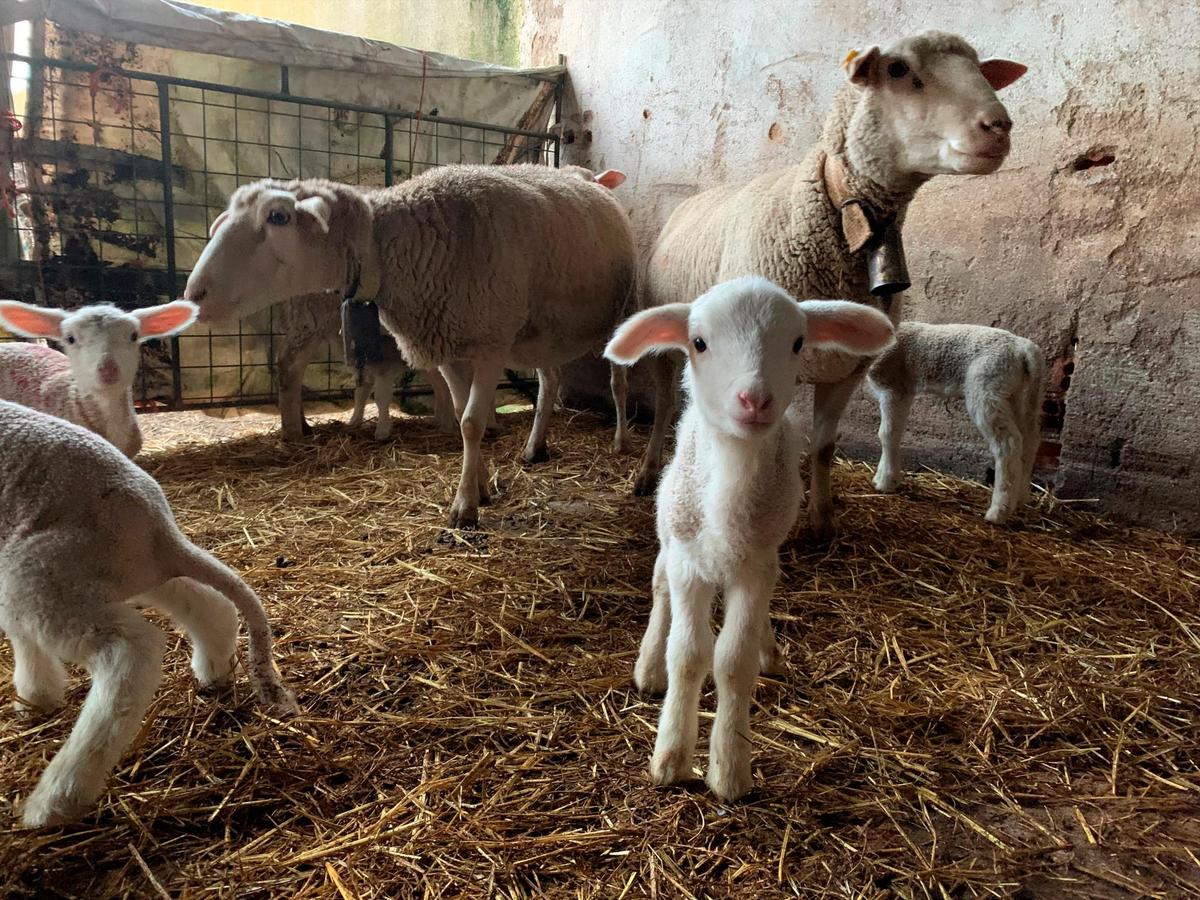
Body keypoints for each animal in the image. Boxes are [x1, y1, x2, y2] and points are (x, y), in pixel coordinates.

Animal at [1, 400, 298, 830]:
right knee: (212, 607)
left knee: (128, 652)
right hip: (117, 574)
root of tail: (160, 531)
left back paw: (56, 797)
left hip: (42, 572)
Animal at [182, 164, 638, 528]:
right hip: (543, 332)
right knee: (548, 384)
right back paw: (534, 448)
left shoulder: (490, 343)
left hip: (618, 314)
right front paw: (480, 486)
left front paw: (465, 507)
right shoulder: (451, 341)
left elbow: (472, 422)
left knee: (618, 383)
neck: (399, 246)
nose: (194, 294)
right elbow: (461, 414)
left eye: (277, 216)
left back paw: (621, 441)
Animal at [604, 277, 897, 801]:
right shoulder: (688, 562)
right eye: (698, 342)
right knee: (659, 591)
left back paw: (768, 650)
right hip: (671, 530)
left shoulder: (758, 565)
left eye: (798, 342)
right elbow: (688, 655)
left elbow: (732, 661)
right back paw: (649, 666)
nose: (755, 400)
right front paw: (671, 757)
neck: (732, 478)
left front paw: (729, 770)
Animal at [868, 321, 1046, 520]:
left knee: (1008, 444)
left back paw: (998, 511)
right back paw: (1020, 498)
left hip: (987, 387)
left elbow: (887, 434)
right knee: (1030, 440)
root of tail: (1023, 347)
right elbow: (893, 433)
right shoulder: (904, 391)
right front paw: (881, 477)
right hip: (1018, 394)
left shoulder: (893, 386)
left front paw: (886, 482)